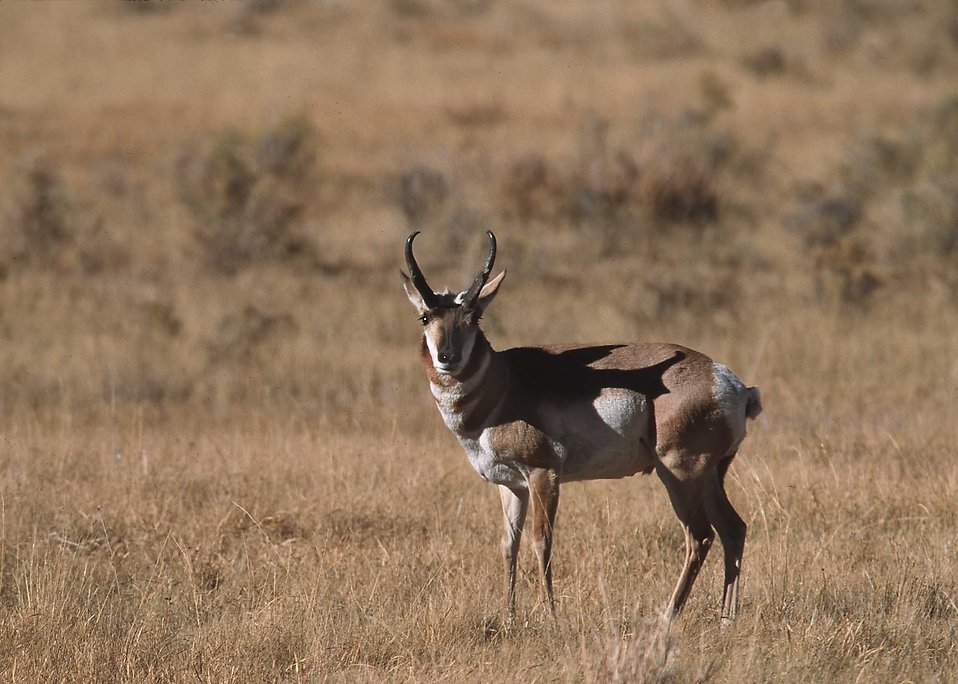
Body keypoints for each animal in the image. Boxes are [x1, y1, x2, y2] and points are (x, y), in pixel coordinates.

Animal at [404, 231, 764, 624]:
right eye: (425, 316)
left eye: (475, 316)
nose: (447, 358)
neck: (505, 383)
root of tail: (727, 380)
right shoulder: (511, 485)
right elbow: (508, 544)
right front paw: (509, 615)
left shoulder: (544, 475)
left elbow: (541, 540)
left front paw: (550, 615)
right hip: (710, 476)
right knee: (733, 529)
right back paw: (726, 619)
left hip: (680, 475)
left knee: (699, 536)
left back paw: (667, 616)